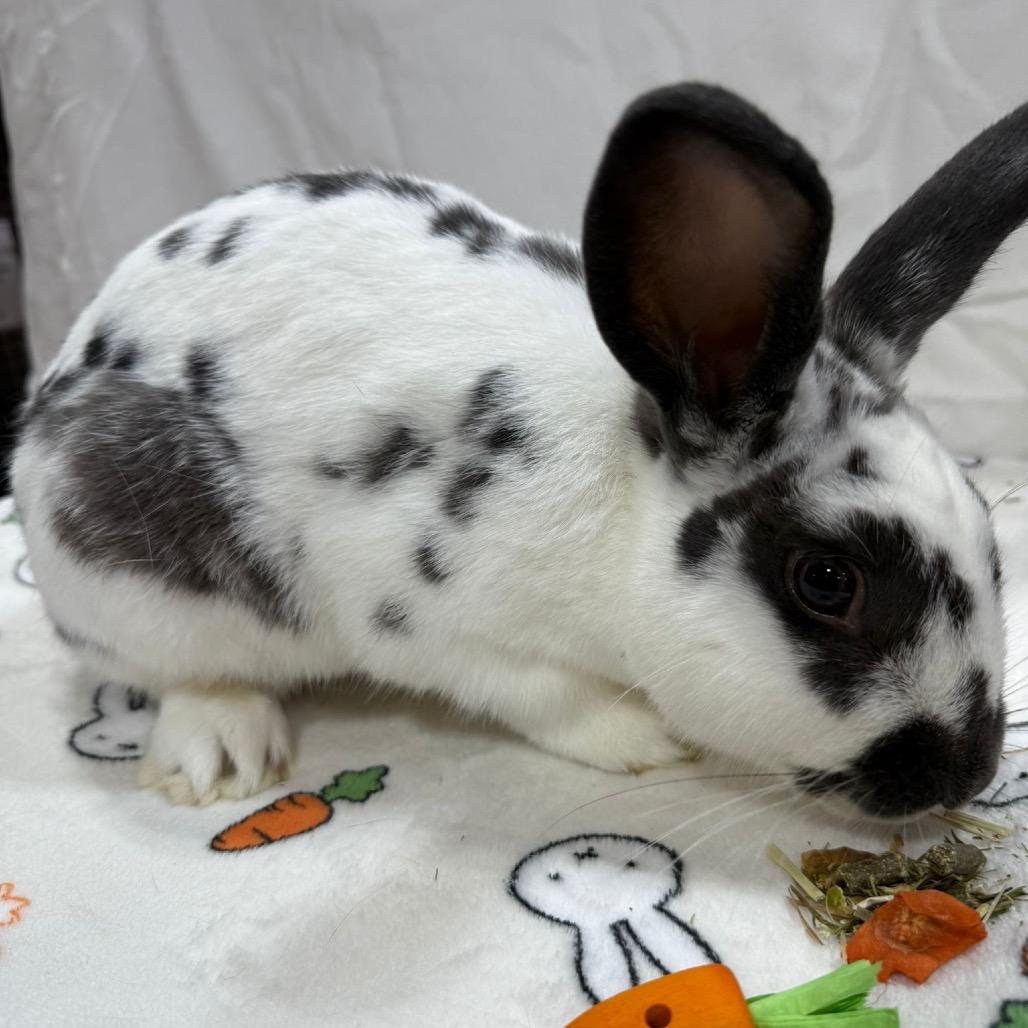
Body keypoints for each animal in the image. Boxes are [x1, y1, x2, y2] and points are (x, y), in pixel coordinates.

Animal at [12, 82, 1020, 814]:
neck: (619, 511)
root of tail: (64, 366)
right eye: (827, 582)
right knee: (174, 671)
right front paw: (647, 740)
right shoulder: (437, 625)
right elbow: (548, 698)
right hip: (120, 562)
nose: (965, 776)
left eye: (992, 546)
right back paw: (221, 755)